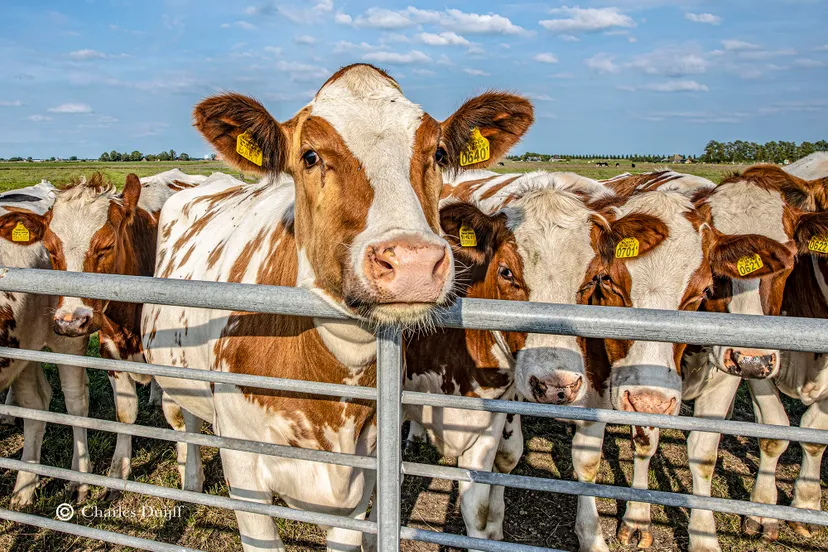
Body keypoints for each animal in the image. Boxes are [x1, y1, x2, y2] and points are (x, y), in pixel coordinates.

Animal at [9, 170, 206, 494]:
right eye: (50, 249)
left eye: (106, 246)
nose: (70, 321)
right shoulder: (109, 350)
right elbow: (124, 413)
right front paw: (118, 471)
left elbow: (180, 417)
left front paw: (189, 473)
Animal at [141, 64, 533, 551]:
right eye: (309, 156)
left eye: (440, 153)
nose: (412, 261)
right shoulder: (244, 468)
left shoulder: (364, 481)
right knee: (184, 423)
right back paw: (190, 480)